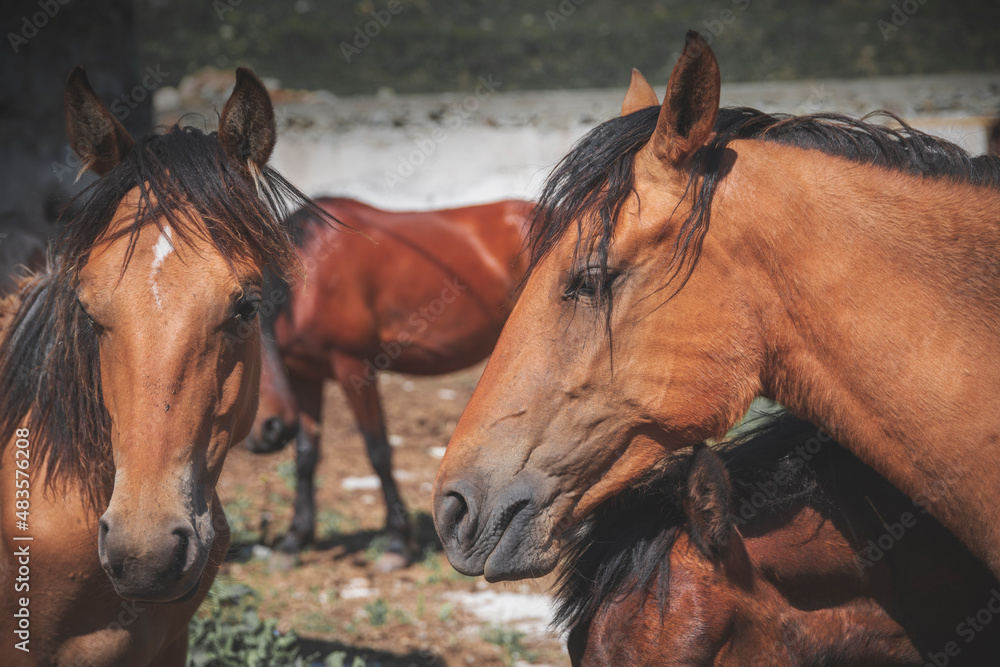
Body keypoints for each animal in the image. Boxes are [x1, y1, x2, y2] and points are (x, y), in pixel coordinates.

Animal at [244, 196, 531, 569]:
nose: (268, 431)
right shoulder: (306, 375)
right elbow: (306, 456)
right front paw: (294, 540)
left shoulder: (353, 366)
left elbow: (377, 450)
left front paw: (398, 543)